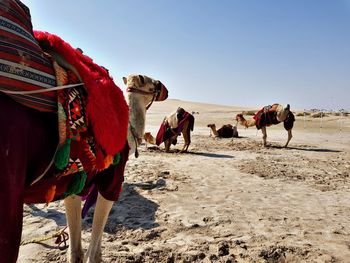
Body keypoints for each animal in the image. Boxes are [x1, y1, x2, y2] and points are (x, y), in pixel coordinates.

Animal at [0, 1, 168, 262]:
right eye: (152, 83)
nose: (165, 88)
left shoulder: (74, 186)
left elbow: (76, 250)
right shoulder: (111, 181)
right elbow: (93, 251)